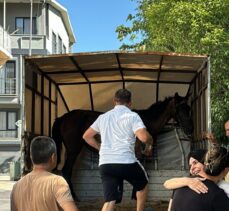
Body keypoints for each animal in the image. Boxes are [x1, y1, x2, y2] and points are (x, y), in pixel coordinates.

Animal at [51, 92, 193, 198]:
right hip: (73, 149)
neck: (145, 122)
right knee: (66, 170)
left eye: (189, 109)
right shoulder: (138, 154)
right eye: (179, 109)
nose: (189, 130)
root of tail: (63, 117)